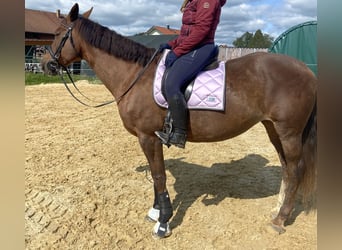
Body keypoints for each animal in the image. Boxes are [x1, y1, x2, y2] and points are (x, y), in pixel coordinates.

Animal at [41, 3, 316, 238]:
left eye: (57, 33)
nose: (45, 64)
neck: (135, 75)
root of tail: (306, 70)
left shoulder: (148, 137)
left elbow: (159, 176)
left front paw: (163, 222)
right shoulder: (150, 139)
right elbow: (156, 176)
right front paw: (155, 212)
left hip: (289, 132)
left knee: (296, 169)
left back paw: (280, 219)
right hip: (273, 129)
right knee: (286, 168)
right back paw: (277, 209)